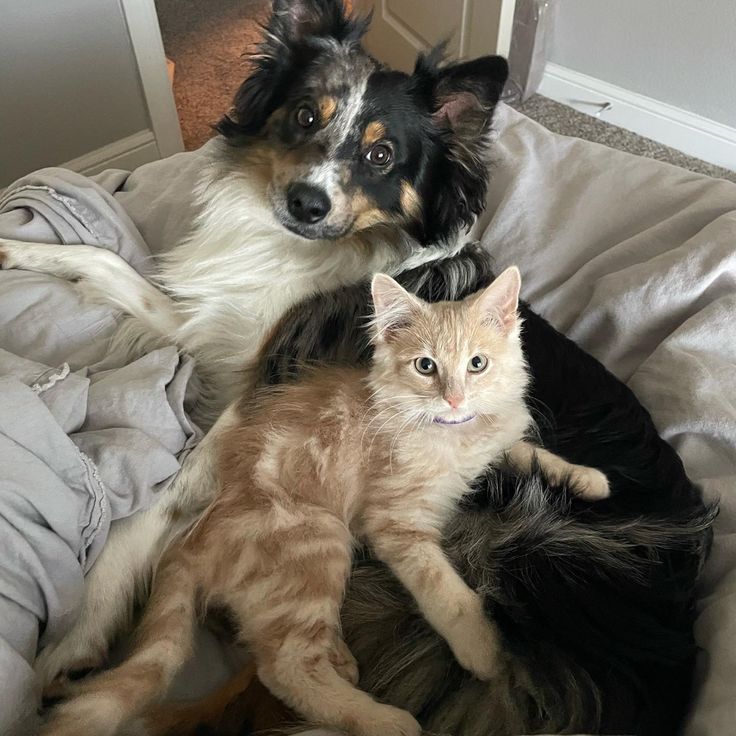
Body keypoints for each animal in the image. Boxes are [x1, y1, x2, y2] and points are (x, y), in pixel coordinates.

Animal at [0, 0, 508, 696]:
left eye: (382, 154)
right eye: (306, 115)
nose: (306, 202)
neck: (303, 250)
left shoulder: (259, 396)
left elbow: (152, 513)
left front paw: (75, 638)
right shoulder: (212, 320)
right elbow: (104, 262)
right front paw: (14, 249)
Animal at [43, 266, 612, 736]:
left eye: (477, 364)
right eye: (425, 366)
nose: (453, 398)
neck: (451, 435)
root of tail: (189, 543)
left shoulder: (495, 442)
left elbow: (527, 450)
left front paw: (587, 478)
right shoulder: (394, 522)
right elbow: (444, 589)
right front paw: (482, 650)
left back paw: (343, 660)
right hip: (318, 537)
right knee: (285, 667)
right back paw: (385, 721)